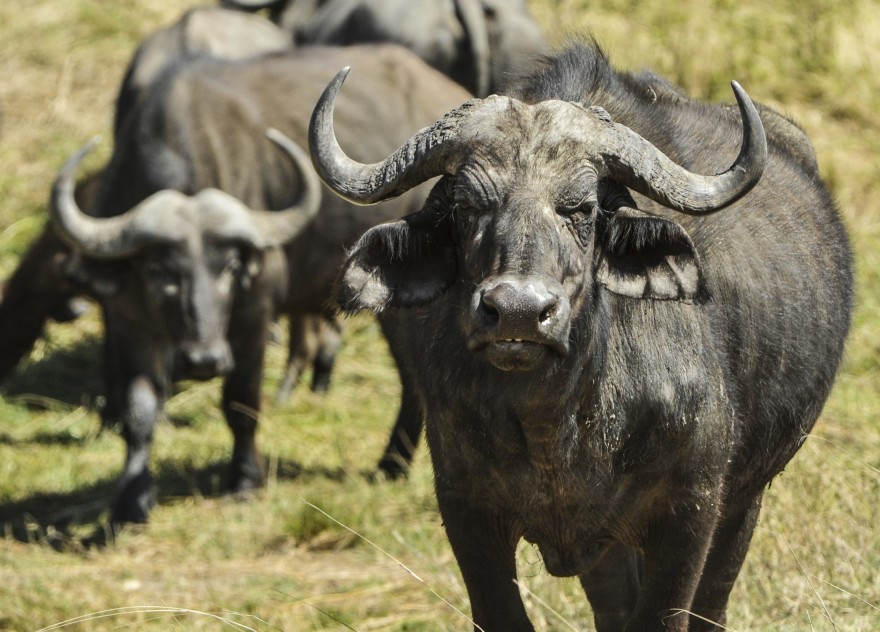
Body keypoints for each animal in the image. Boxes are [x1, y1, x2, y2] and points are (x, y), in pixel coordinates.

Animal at [308, 44, 852, 632]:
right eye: (466, 206)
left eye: (581, 208)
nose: (519, 313)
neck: (556, 423)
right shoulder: (465, 507)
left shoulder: (691, 510)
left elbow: (665, 614)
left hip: (746, 499)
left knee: (713, 601)